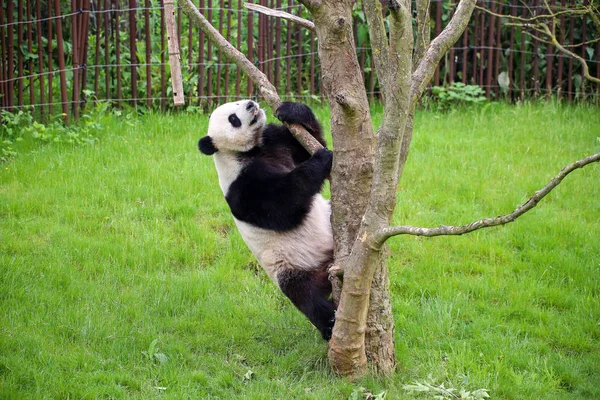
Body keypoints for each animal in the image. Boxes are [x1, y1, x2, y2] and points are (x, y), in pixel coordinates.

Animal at [198, 100, 336, 340]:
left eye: (237, 101)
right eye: (233, 119)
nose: (251, 104)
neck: (251, 151)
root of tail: (325, 267)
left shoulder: (274, 141)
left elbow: (307, 144)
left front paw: (292, 111)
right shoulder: (241, 187)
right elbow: (282, 206)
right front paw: (321, 158)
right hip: (288, 268)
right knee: (307, 298)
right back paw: (330, 323)